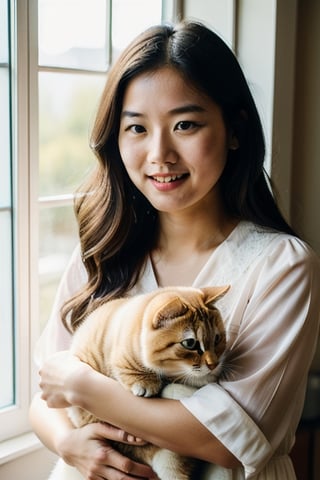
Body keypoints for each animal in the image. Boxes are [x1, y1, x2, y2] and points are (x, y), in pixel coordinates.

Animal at [48, 284, 228, 480]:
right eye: (190, 343)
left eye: (217, 339)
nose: (213, 364)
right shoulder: (119, 355)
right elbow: (130, 368)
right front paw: (145, 382)